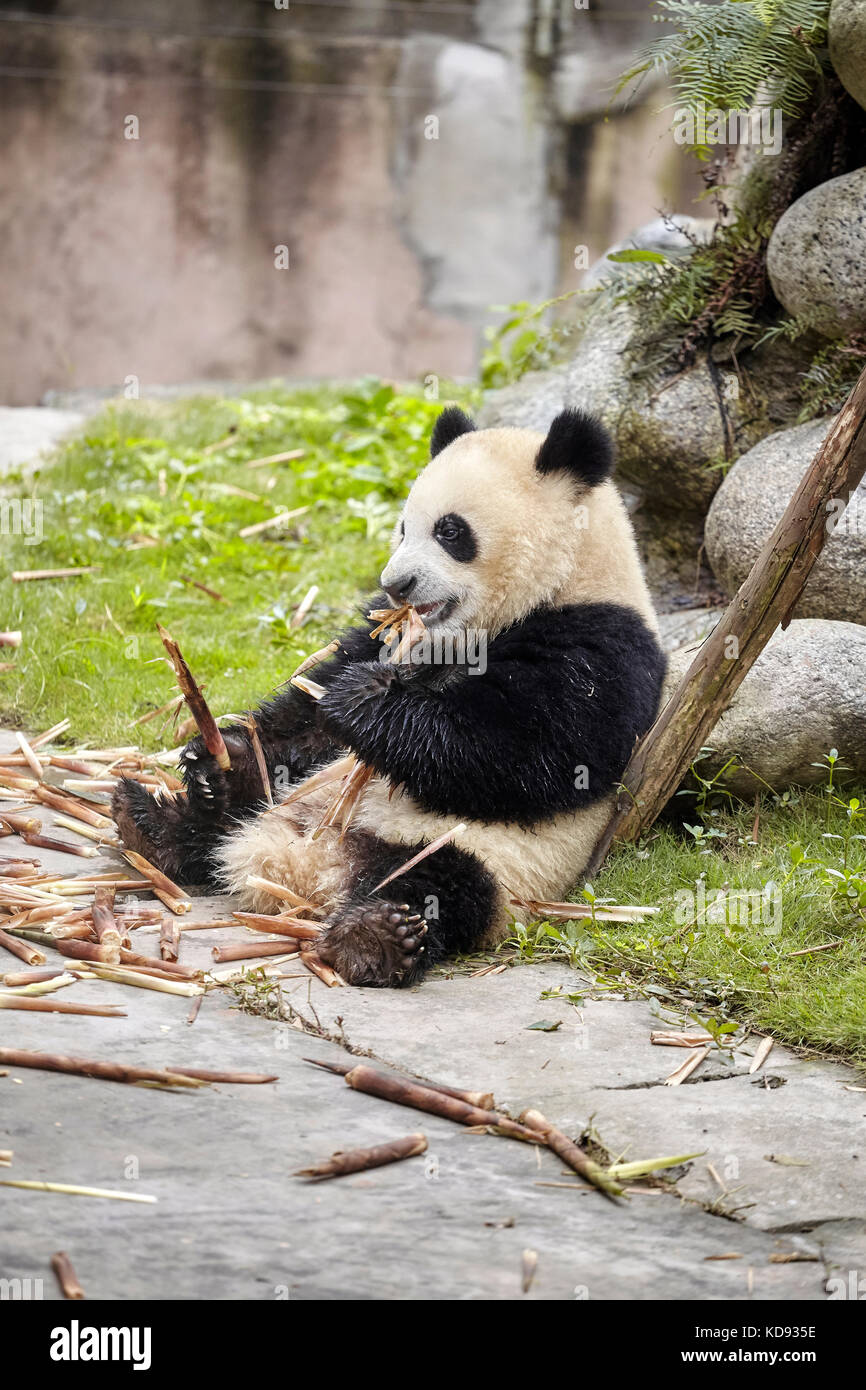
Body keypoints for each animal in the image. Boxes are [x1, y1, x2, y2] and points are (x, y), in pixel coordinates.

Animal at [113, 406, 666, 987]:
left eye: (450, 530)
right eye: (404, 528)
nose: (397, 584)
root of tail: (305, 870)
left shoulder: (601, 644)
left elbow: (525, 751)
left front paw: (363, 701)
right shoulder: (385, 635)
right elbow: (310, 719)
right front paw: (223, 756)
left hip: (494, 860)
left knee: (441, 884)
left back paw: (376, 935)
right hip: (285, 809)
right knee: (232, 816)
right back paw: (156, 820)